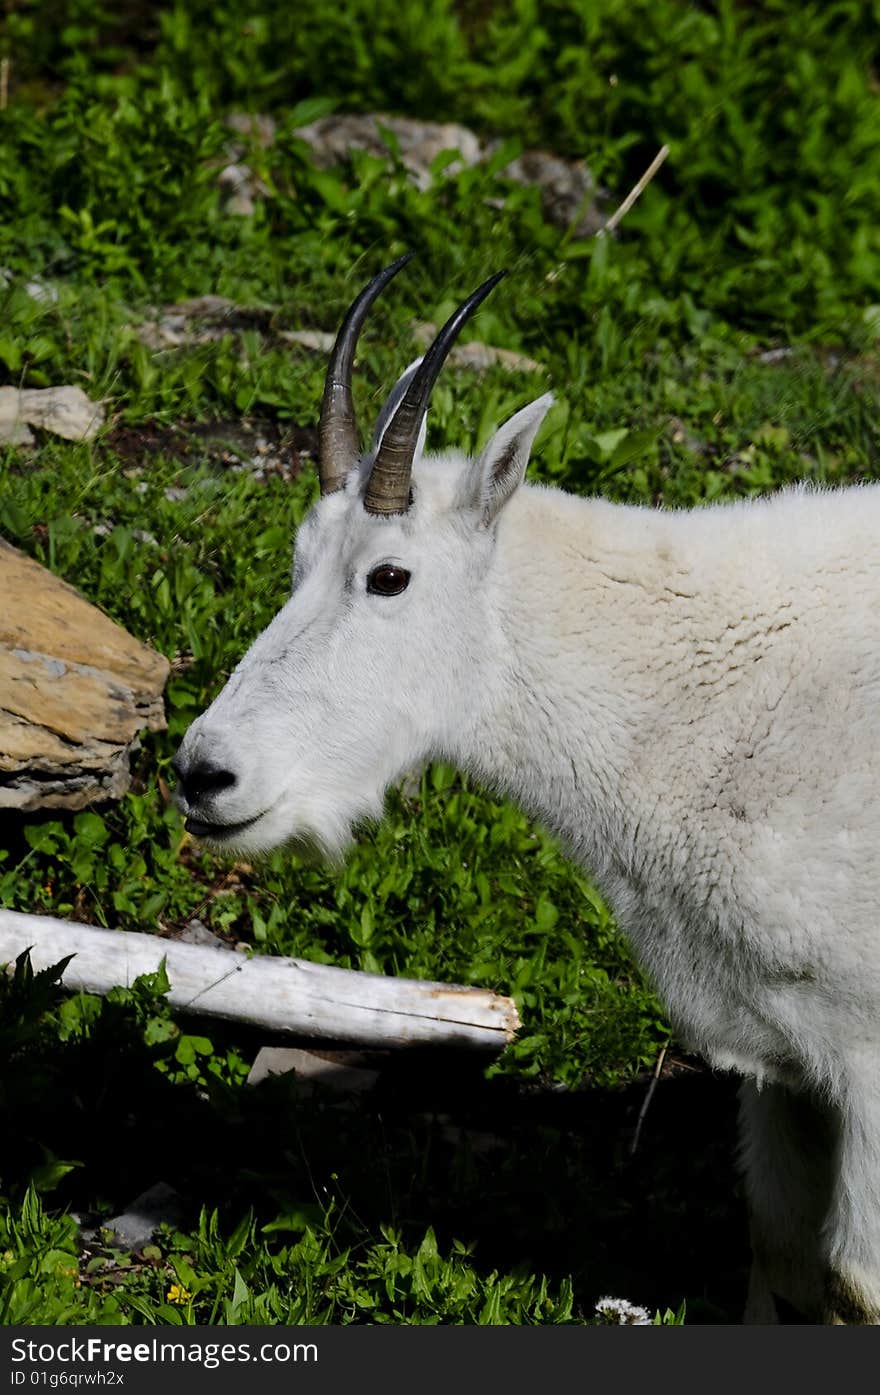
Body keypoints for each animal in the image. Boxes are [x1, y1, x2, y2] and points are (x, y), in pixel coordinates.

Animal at [173, 256, 880, 1322]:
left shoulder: (869, 1058)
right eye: (297, 562)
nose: (206, 772)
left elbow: (852, 1281)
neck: (704, 698)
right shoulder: (785, 1060)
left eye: (389, 575)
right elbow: (784, 1253)